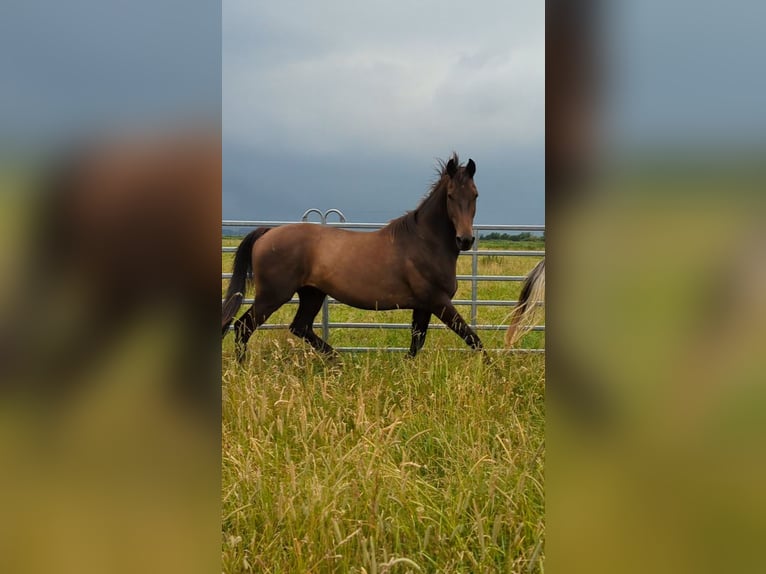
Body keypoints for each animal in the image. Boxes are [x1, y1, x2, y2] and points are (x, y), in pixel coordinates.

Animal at [224, 153, 486, 360]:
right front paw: (492, 372)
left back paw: (339, 361)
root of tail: (268, 232)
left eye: (475, 195)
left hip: (312, 293)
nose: (465, 240)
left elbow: (416, 344)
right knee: (242, 327)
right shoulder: (438, 301)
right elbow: (473, 339)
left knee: (300, 326)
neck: (424, 242)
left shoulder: (423, 305)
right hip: (273, 295)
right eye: (450, 195)